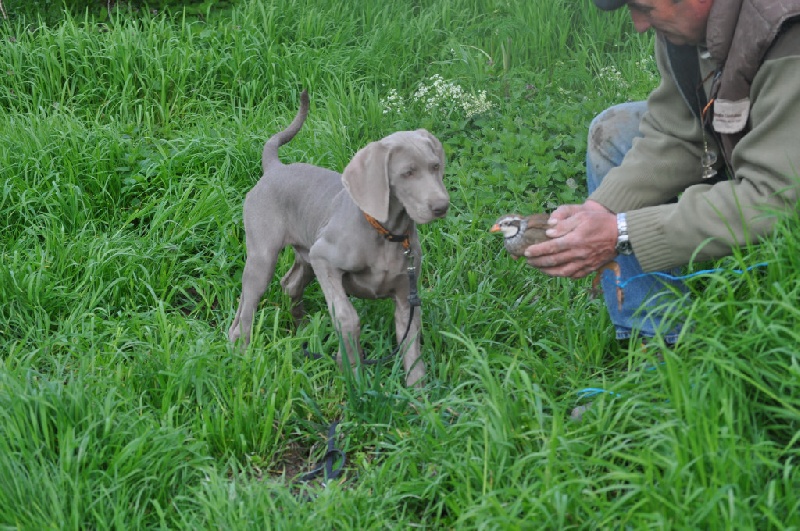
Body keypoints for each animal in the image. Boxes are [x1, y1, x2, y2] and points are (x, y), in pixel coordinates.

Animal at [228, 91, 446, 386]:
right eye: (407, 173)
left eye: (435, 167)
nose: (442, 206)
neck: (386, 234)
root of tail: (275, 167)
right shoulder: (324, 259)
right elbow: (347, 315)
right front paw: (353, 372)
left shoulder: (406, 299)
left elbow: (412, 352)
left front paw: (418, 395)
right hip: (264, 257)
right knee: (247, 305)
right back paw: (241, 350)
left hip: (305, 253)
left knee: (290, 284)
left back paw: (303, 330)